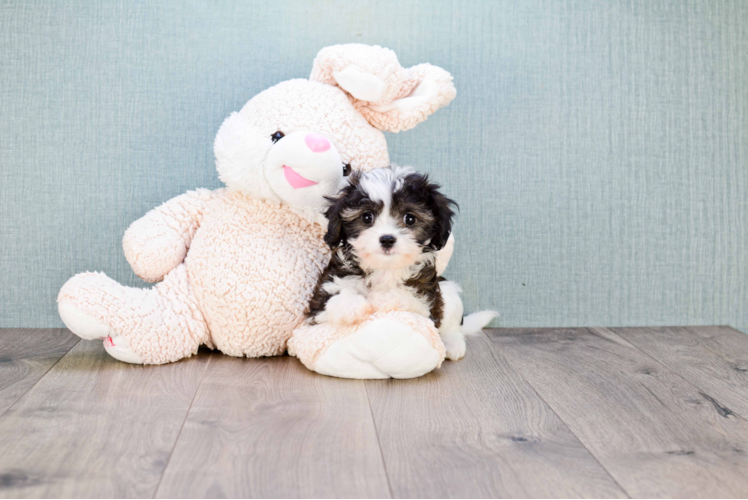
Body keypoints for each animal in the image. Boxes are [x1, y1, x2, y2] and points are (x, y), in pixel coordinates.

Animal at [306, 166, 494, 362]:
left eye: (409, 219)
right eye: (367, 217)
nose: (387, 239)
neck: (384, 268)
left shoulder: (424, 303)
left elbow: (402, 297)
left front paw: (377, 299)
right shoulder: (323, 296)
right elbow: (334, 299)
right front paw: (353, 307)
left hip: (448, 292)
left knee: (452, 325)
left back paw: (452, 344)